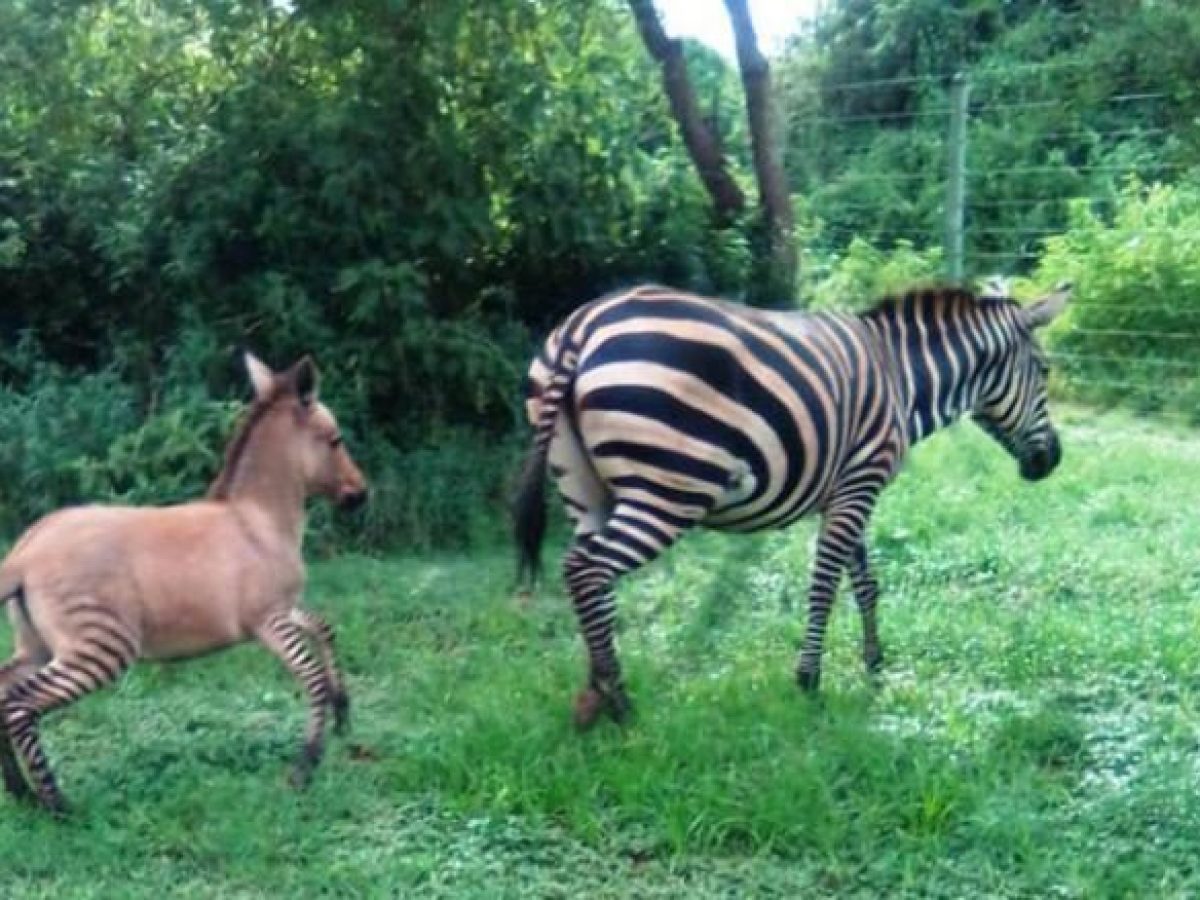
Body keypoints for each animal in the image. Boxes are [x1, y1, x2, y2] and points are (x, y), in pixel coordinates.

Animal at [513, 281, 1073, 729]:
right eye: (1044, 371)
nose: (1052, 462)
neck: (902, 377)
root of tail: (583, 325)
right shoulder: (860, 483)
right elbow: (825, 583)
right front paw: (809, 680)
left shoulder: (847, 488)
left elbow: (865, 582)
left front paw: (874, 664)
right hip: (669, 490)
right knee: (587, 569)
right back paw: (620, 702)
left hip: (584, 489)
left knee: (590, 581)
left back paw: (594, 695)